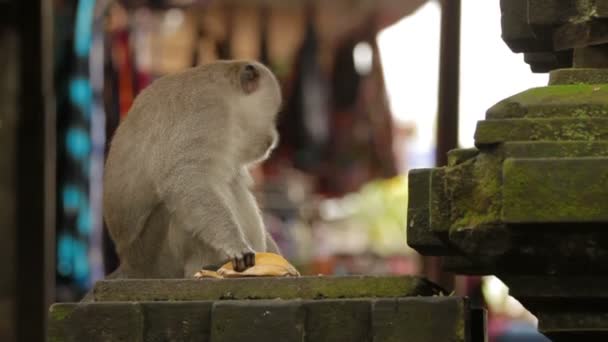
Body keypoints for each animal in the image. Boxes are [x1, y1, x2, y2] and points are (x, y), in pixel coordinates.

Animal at [102, 60, 282, 280]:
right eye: (273, 115)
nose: (272, 141)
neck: (228, 97)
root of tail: (129, 264)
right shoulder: (208, 110)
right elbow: (187, 179)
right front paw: (235, 244)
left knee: (233, 184)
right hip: (156, 257)